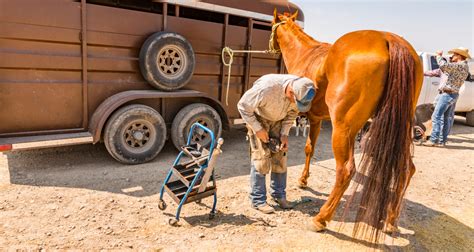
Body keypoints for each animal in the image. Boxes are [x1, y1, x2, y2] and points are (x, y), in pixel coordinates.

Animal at [272, 10, 424, 241]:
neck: (306, 54)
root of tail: (389, 40)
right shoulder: (315, 119)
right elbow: (309, 149)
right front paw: (303, 180)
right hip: (401, 130)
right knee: (406, 169)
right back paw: (390, 221)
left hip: (343, 130)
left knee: (346, 170)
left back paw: (321, 219)